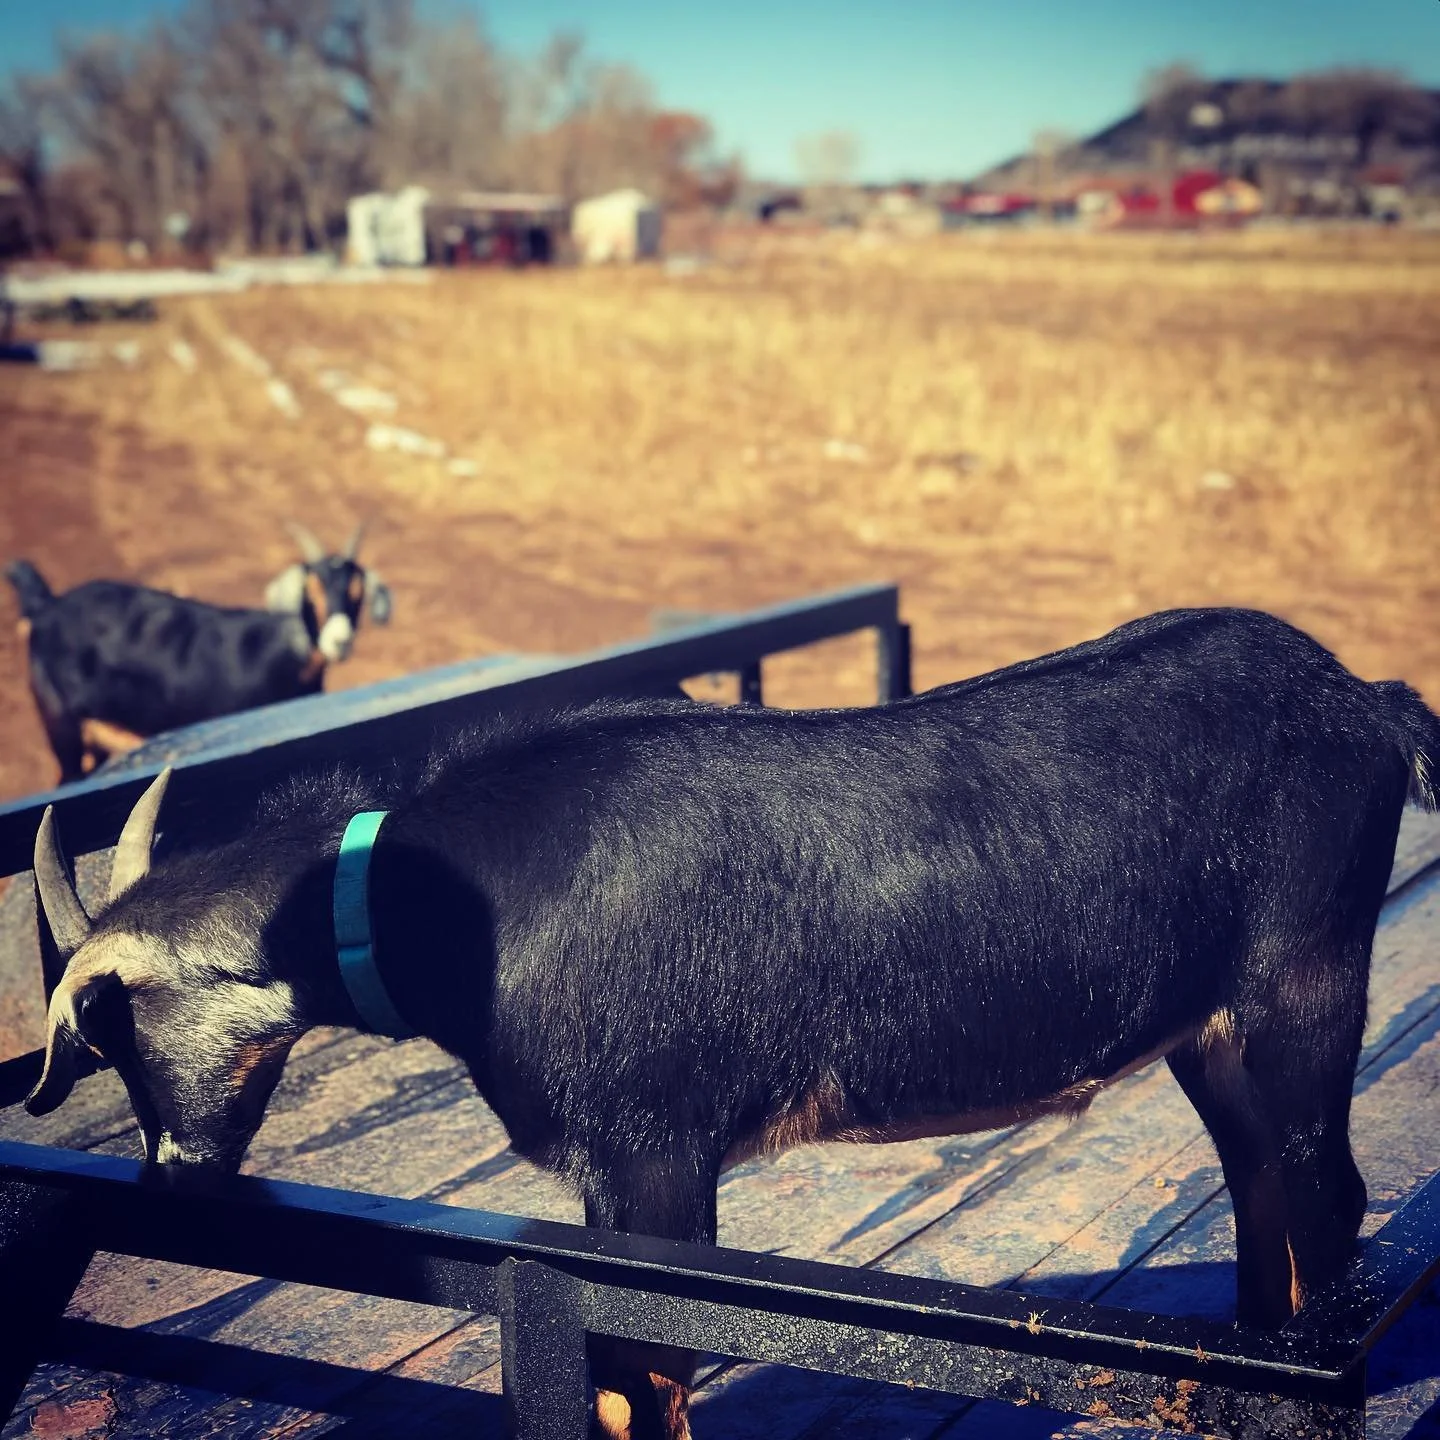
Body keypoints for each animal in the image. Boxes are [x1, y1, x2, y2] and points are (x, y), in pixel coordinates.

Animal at [26, 607, 1440, 1440]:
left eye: (112, 1027)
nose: (173, 1173)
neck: (444, 899)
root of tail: (1367, 698)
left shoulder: (653, 1147)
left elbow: (644, 1375)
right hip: (1213, 1024)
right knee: (1262, 1183)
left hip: (1305, 976)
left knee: (1327, 1192)